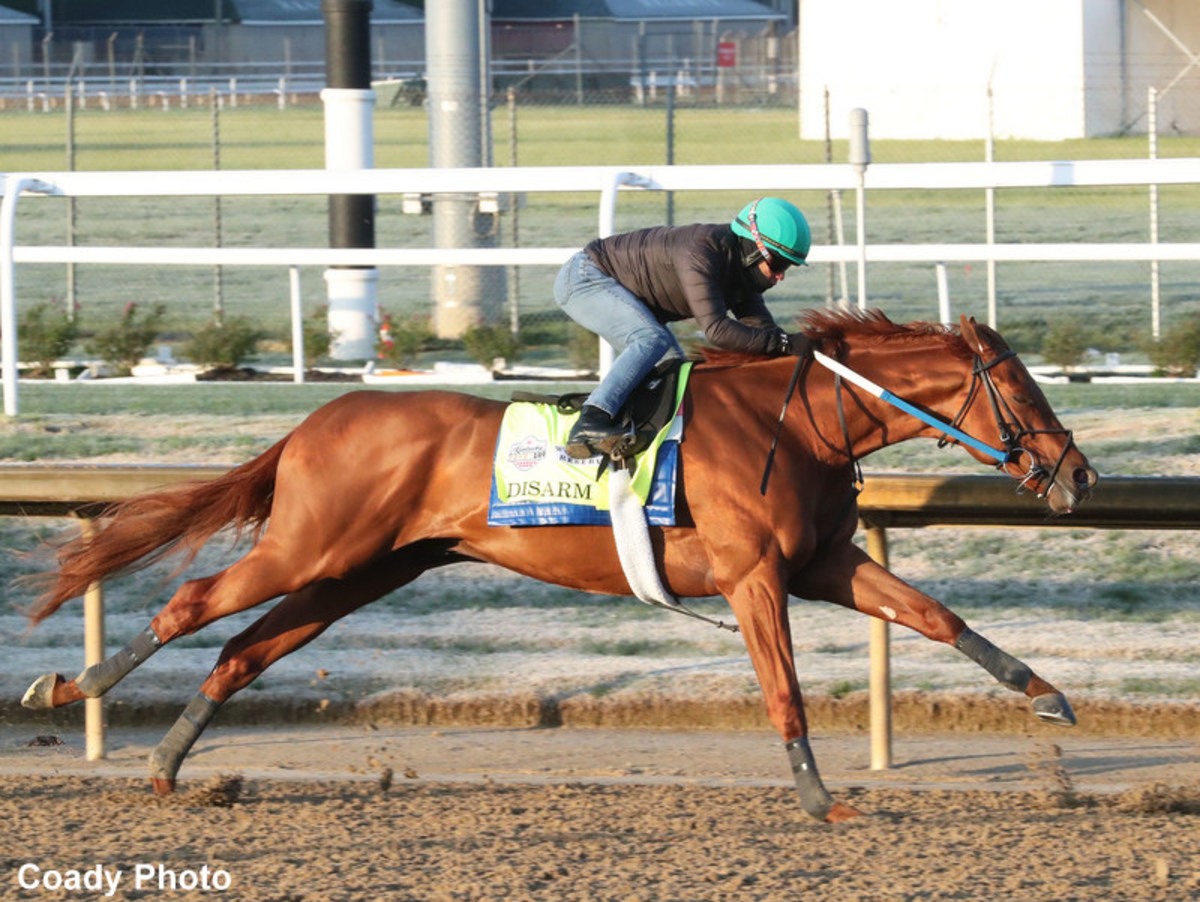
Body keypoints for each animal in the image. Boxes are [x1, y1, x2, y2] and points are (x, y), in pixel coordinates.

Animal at [21, 311, 1099, 825]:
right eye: (1020, 389)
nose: (1080, 476)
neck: (796, 420)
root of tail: (316, 419)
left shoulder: (823, 562)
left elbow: (937, 616)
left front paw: (1047, 696)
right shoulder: (755, 575)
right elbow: (785, 691)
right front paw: (818, 796)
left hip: (365, 569)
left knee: (244, 648)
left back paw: (169, 765)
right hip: (313, 545)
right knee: (193, 603)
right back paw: (71, 687)